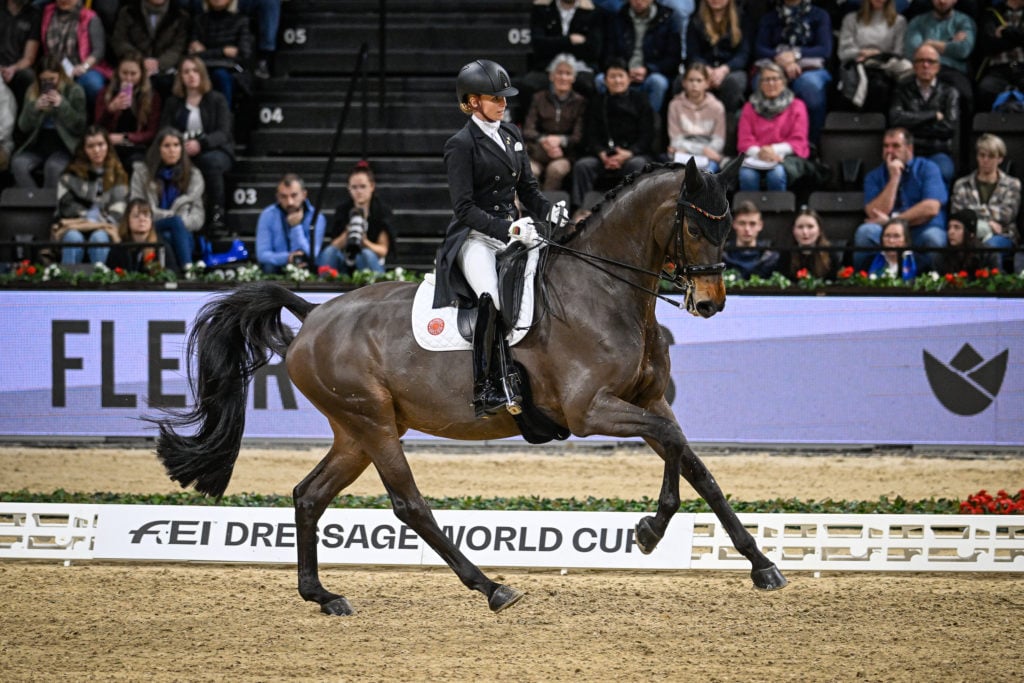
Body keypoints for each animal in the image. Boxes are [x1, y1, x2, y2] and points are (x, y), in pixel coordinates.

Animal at [151, 157, 786, 618]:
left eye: (729, 224)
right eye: (696, 225)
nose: (710, 303)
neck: (603, 292)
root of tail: (311, 316)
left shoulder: (644, 400)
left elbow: (694, 464)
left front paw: (754, 562)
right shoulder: (591, 411)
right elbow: (674, 447)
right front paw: (653, 531)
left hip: (356, 431)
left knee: (309, 495)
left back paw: (323, 596)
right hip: (373, 424)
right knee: (409, 504)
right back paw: (491, 587)